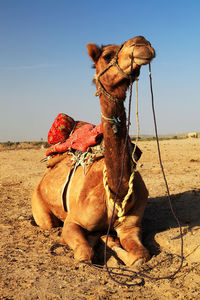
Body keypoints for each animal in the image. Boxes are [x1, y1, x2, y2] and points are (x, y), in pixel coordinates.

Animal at [31, 36, 156, 266]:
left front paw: (109, 240)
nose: (142, 43)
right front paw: (100, 243)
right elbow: (84, 254)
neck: (116, 191)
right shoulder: (72, 222)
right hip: (41, 208)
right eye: (107, 55)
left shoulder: (131, 226)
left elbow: (140, 257)